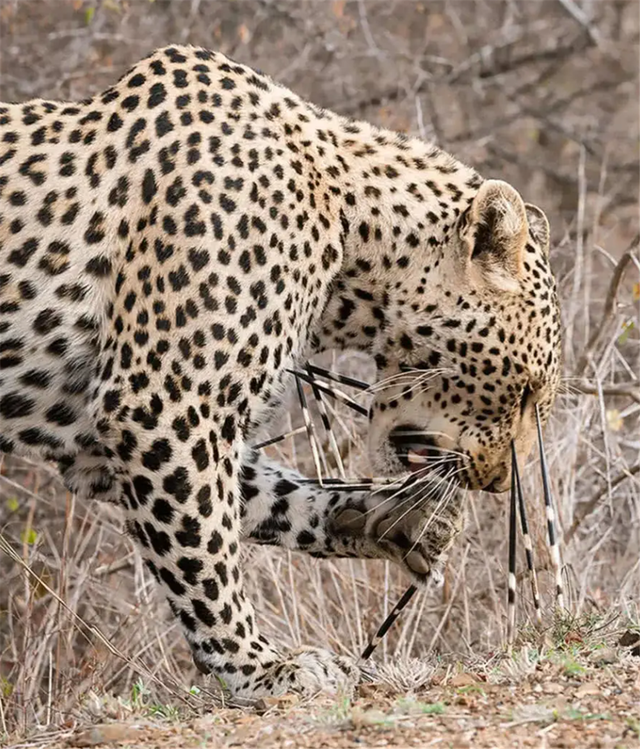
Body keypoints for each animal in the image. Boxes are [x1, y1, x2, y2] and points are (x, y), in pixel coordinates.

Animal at [0, 45, 560, 700]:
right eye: (524, 392)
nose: (497, 484)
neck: (348, 223)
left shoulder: (86, 431)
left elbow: (264, 495)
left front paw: (394, 520)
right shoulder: (162, 404)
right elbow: (203, 550)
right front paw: (258, 667)